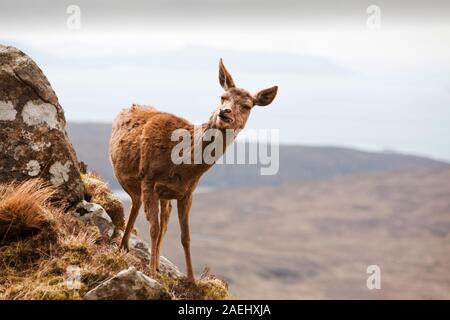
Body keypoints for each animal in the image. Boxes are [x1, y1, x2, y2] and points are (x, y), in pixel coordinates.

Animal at [109, 58, 278, 282]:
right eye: (222, 97)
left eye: (247, 105)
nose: (224, 112)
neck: (182, 164)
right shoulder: (149, 179)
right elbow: (153, 228)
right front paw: (151, 271)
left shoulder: (187, 193)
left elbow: (185, 236)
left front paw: (191, 279)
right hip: (131, 180)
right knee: (137, 205)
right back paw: (125, 247)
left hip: (163, 195)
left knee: (164, 219)